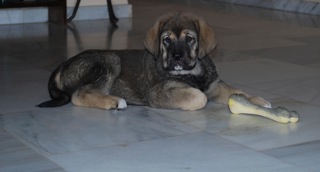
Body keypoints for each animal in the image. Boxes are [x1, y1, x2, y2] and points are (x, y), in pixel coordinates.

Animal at [38, 12, 272, 111]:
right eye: (166, 40)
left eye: (189, 38)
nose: (176, 56)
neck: (193, 72)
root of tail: (63, 64)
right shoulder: (159, 92)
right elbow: (199, 97)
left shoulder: (215, 85)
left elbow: (237, 91)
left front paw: (258, 101)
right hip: (109, 59)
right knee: (79, 95)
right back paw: (114, 101)